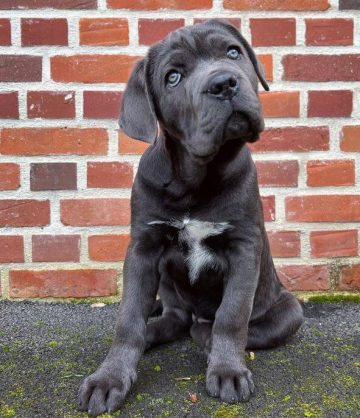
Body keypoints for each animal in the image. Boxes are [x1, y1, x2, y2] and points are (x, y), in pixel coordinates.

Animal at [78, 18, 304, 414]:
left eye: (233, 52)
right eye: (173, 77)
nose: (224, 83)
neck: (196, 177)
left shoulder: (244, 247)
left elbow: (231, 317)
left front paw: (228, 371)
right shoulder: (143, 248)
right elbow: (128, 319)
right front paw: (110, 377)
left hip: (290, 308)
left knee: (206, 327)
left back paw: (206, 339)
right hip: (169, 288)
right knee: (171, 319)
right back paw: (154, 332)